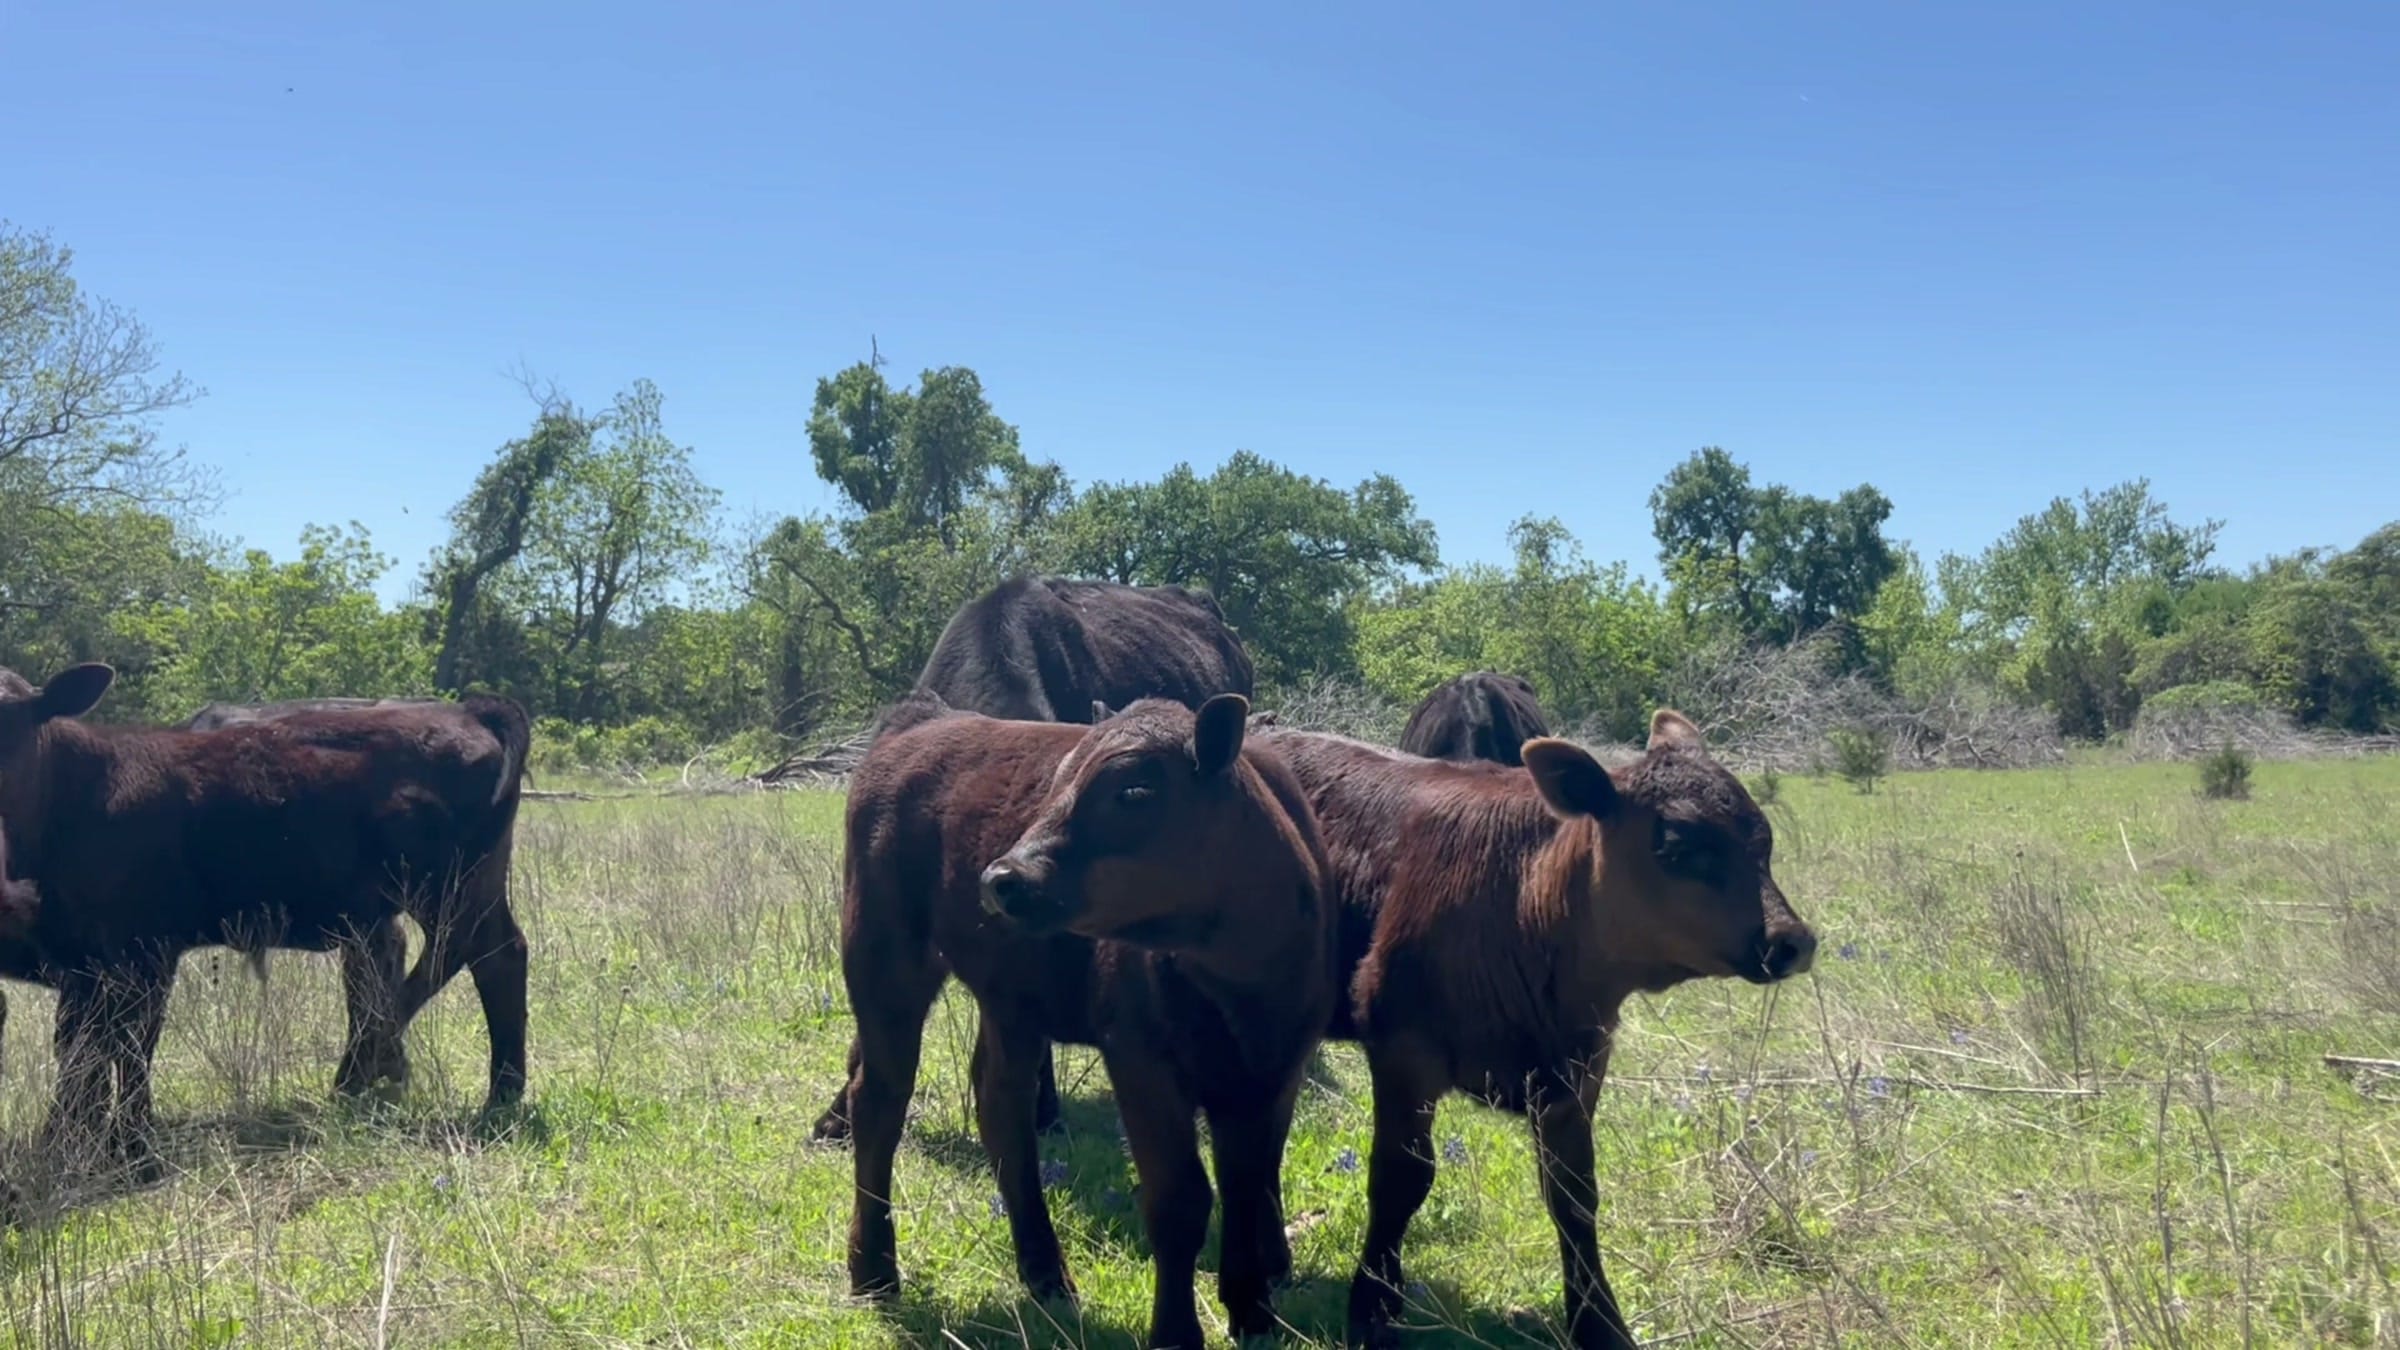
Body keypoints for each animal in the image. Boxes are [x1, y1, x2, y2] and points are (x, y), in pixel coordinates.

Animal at [0, 663, 534, 1175]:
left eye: (12, 719)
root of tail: (466, 710)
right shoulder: (83, 960)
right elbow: (80, 1047)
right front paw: (69, 1141)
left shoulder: (146, 950)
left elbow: (130, 1046)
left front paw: (131, 1148)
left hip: (448, 888)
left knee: (491, 956)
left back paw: (482, 1092)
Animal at [837, 693, 1334, 1349]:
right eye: (1057, 781)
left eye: (1135, 791)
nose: (1001, 878)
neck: (1238, 974)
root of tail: (927, 720)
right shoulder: (1141, 1058)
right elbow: (1179, 1200)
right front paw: (1176, 1331)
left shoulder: (1274, 1069)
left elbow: (1250, 1187)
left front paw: (1254, 1312)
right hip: (883, 958)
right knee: (880, 1101)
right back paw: (874, 1270)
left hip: (1011, 996)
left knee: (1001, 1106)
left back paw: (1046, 1273)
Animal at [1252, 711, 1817, 1350]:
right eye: (1677, 846)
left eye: (1762, 841)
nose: (1791, 941)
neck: (1525, 904)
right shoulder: (1404, 1053)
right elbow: (1400, 1178)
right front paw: (1372, 1309)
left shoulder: (1578, 1067)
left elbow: (1574, 1194)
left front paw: (1600, 1324)